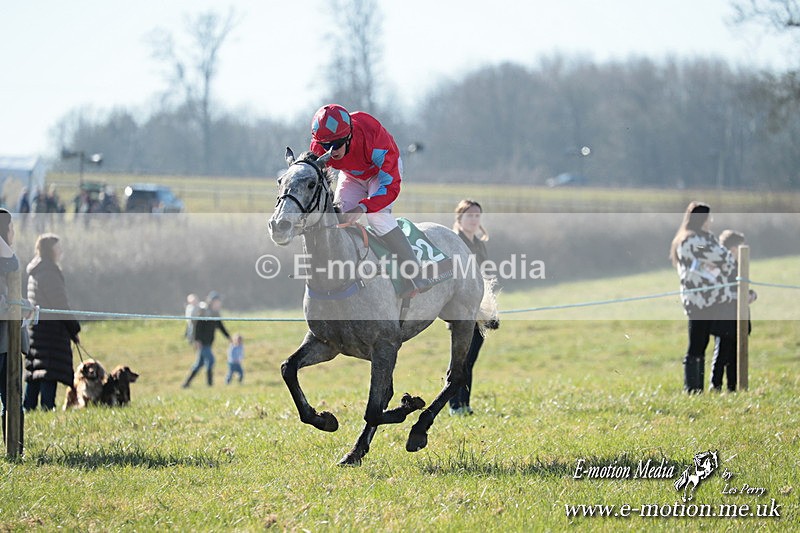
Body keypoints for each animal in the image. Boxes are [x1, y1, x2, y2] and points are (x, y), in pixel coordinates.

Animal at [267, 147, 496, 465]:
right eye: (280, 181)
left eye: (311, 184)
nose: (280, 225)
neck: (339, 276)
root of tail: (461, 242)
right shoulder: (326, 343)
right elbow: (288, 369)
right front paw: (325, 420)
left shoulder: (385, 345)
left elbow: (375, 408)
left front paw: (409, 406)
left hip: (460, 319)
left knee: (456, 376)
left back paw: (418, 431)